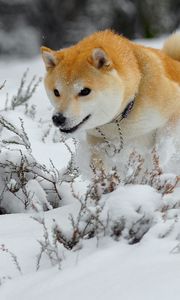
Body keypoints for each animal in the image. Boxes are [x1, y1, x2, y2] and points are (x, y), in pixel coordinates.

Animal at [40, 31, 180, 168]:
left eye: (85, 91)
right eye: (56, 92)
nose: (58, 118)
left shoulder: (173, 111)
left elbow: (163, 143)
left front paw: (157, 160)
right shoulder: (97, 141)